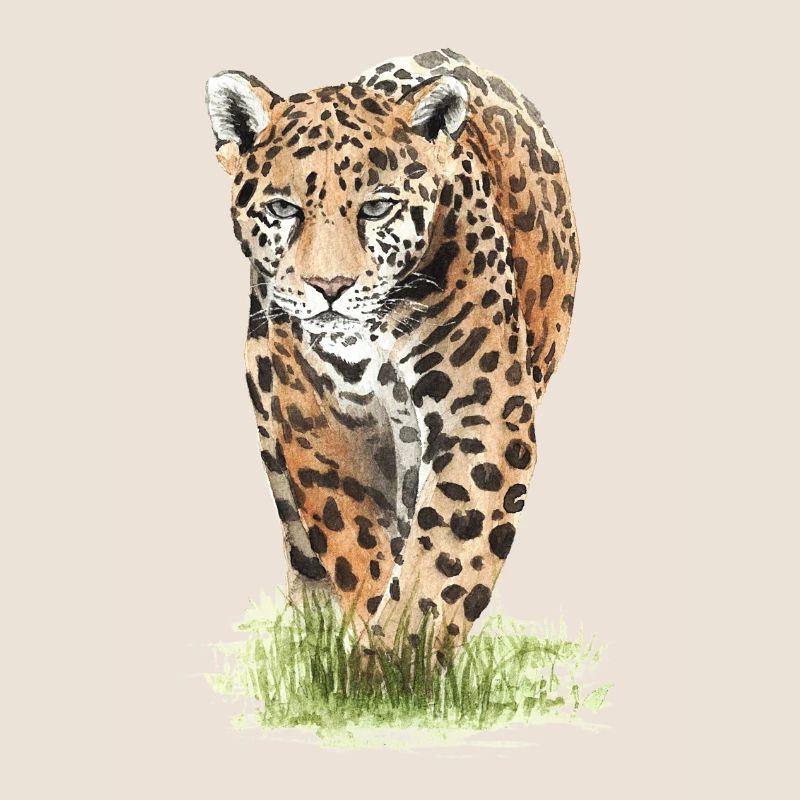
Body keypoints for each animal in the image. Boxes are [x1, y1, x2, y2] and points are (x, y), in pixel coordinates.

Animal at [205, 48, 580, 660]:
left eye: (378, 207)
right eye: (282, 209)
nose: (329, 287)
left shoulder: (482, 416)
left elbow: (445, 557)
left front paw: (402, 662)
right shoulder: (320, 421)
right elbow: (356, 544)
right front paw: (374, 655)